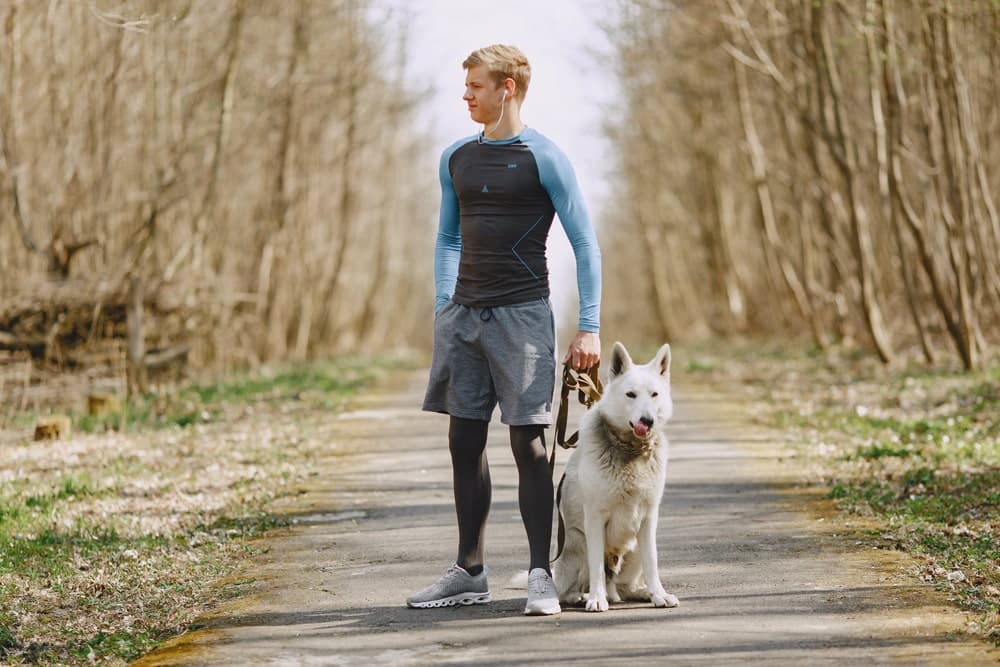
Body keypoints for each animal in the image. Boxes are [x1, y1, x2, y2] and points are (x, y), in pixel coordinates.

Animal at [556, 342, 680, 612]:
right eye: (630, 394)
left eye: (654, 395)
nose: (647, 420)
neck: (630, 450)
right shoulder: (594, 518)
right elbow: (596, 569)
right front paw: (596, 598)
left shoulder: (648, 519)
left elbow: (653, 563)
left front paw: (659, 594)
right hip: (578, 542)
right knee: (569, 588)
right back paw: (583, 596)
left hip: (633, 549)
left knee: (624, 587)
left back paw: (642, 593)